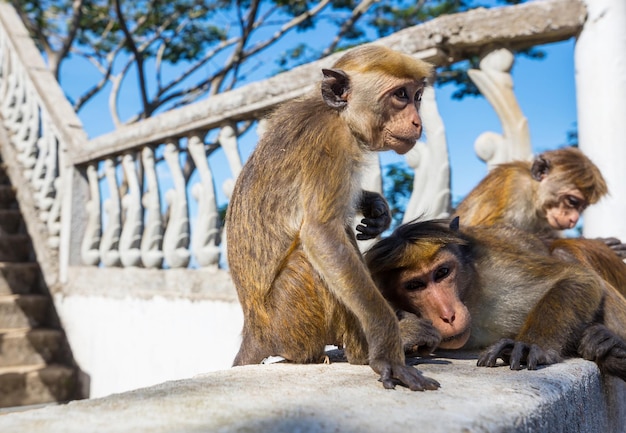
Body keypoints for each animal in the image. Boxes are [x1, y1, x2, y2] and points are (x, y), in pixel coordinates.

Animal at [225, 44, 438, 392]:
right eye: (400, 95)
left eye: (417, 96)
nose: (418, 122)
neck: (336, 115)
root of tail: (254, 330)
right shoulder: (329, 143)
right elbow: (321, 235)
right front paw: (387, 350)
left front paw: (375, 208)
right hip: (290, 320)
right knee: (311, 256)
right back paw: (364, 351)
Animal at [364, 219, 624, 382]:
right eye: (415, 285)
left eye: (442, 272)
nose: (448, 315)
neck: (468, 295)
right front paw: (408, 332)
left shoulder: (498, 270)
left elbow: (578, 277)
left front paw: (530, 345)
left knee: (565, 254)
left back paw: (610, 342)